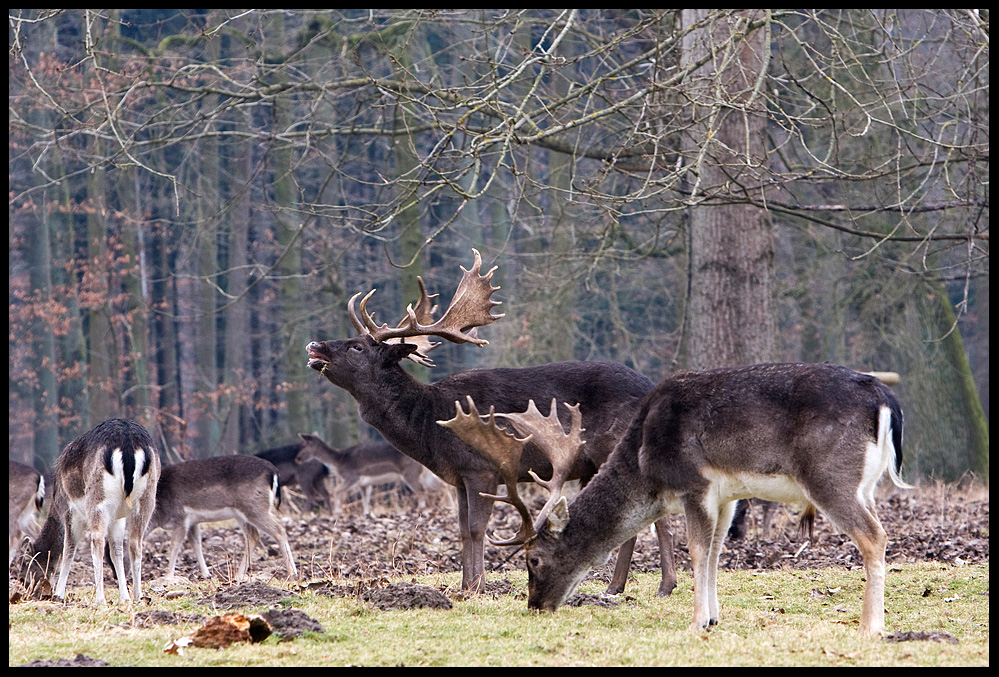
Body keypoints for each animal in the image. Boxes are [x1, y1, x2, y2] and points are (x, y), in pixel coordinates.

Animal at [16, 420, 161, 604]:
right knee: (135, 542)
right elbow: (116, 551)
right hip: (147, 499)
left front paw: (58, 594)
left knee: (97, 539)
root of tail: (127, 443)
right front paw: (125, 597)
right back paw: (138, 596)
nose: (28, 593)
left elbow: (69, 549)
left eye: (23, 570)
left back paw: (100, 599)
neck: (55, 508)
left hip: (98, 498)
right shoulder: (117, 518)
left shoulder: (69, 510)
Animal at [146, 452, 298, 580]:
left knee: (279, 530)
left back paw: (292, 573)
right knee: (253, 535)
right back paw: (238, 575)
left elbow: (175, 545)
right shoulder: (193, 522)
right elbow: (196, 544)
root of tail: (273, 471)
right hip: (242, 514)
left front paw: (167, 576)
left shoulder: (181, 518)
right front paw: (206, 574)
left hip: (255, 508)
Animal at [308, 251, 676, 596]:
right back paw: (627, 586)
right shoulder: (458, 476)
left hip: (611, 447)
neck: (430, 422)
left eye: (356, 347)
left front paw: (477, 586)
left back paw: (652, 585)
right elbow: (461, 529)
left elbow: (476, 528)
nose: (314, 344)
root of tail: (650, 390)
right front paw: (465, 585)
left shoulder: (481, 467)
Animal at [446, 362, 916, 636]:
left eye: (535, 559)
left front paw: (695, 621)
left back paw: (870, 627)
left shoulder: (693, 482)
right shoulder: (729, 495)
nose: (535, 606)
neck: (645, 460)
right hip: (866, 484)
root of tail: (886, 401)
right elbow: (716, 552)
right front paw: (713, 617)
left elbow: (697, 550)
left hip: (830, 474)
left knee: (875, 536)